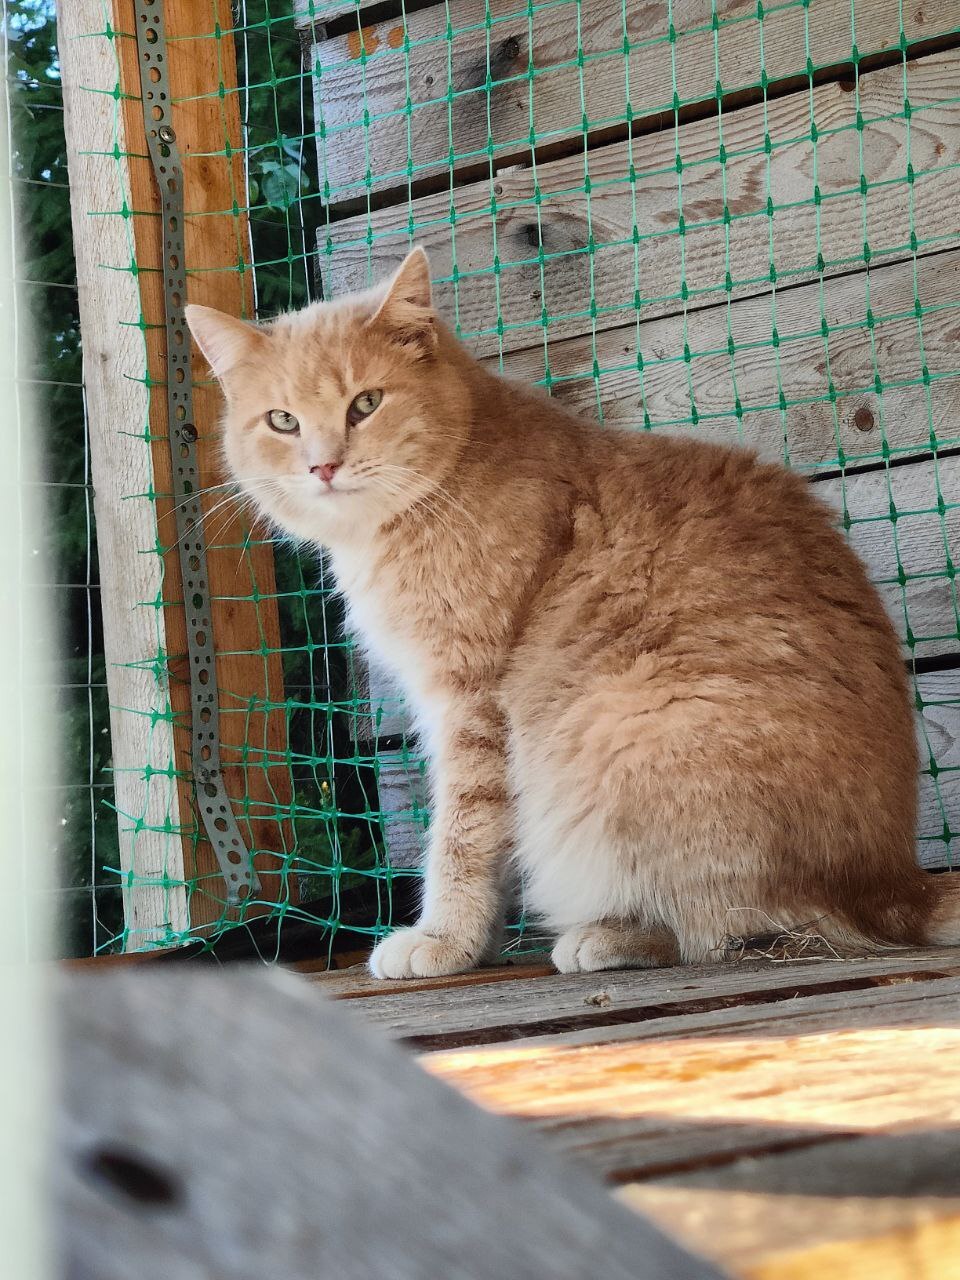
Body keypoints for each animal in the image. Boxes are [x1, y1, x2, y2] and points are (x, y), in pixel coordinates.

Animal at [184, 244, 957, 972]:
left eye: (365, 404)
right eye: (283, 421)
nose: (323, 465)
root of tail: (896, 882)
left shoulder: (471, 705)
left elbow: (462, 836)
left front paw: (444, 939)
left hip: (630, 727)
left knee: (733, 929)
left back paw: (610, 935)